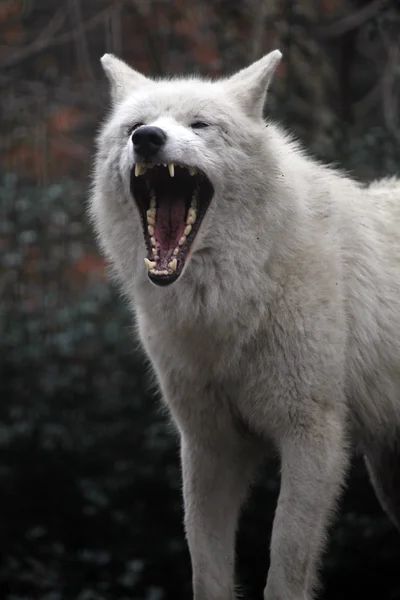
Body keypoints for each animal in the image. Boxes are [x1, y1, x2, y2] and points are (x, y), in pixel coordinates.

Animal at [90, 51, 400, 600]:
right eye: (132, 126)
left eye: (199, 124)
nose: (147, 138)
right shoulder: (209, 445)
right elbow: (207, 570)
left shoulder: (313, 438)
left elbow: (285, 566)